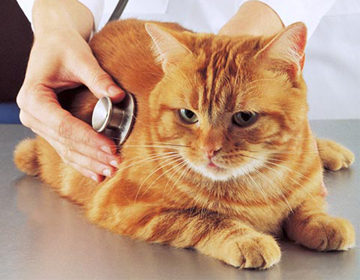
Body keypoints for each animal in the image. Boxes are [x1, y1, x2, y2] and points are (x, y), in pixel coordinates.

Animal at [14, 19, 354, 270]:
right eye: (188, 115)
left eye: (244, 117)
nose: (209, 150)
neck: (257, 183)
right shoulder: (125, 206)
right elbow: (205, 219)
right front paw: (246, 238)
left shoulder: (309, 185)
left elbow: (307, 205)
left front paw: (323, 223)